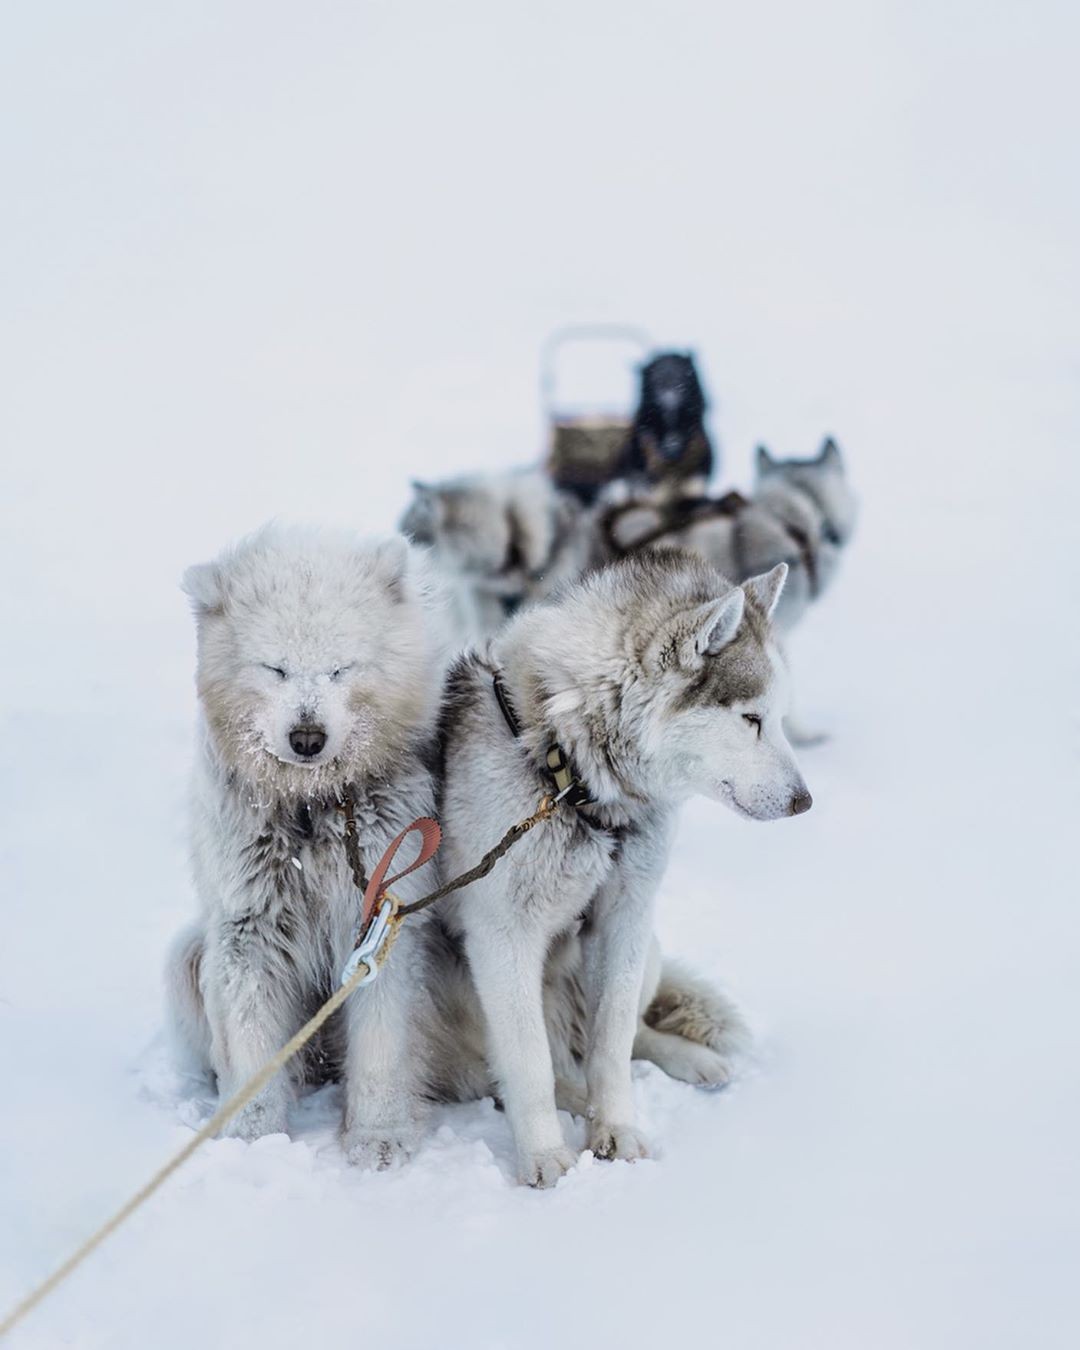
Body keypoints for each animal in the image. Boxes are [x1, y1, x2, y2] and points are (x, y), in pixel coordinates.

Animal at [429, 545, 810, 1182]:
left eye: (778, 718)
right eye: (751, 719)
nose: (805, 802)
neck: (573, 780)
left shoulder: (624, 917)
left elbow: (612, 1042)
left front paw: (616, 1130)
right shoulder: (504, 935)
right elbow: (528, 1062)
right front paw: (545, 1155)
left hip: (649, 945)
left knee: (627, 1035)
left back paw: (685, 1060)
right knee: (523, 1068)